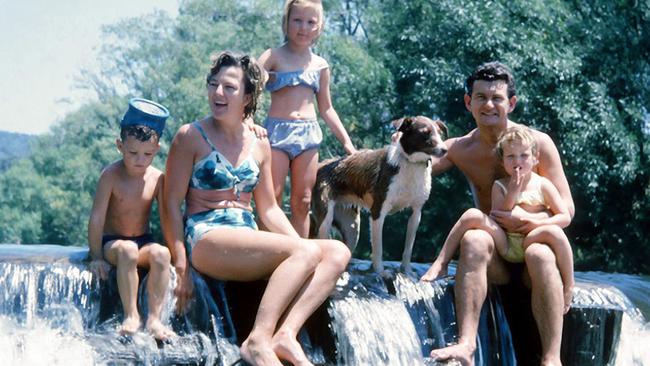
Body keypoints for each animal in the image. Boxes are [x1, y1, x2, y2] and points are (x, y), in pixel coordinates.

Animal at [312, 116, 446, 276]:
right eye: (425, 133)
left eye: (439, 133)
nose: (445, 149)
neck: (411, 163)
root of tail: (320, 165)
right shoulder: (378, 212)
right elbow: (378, 248)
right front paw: (380, 272)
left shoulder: (416, 213)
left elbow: (408, 248)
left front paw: (407, 271)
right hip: (325, 220)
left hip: (352, 229)